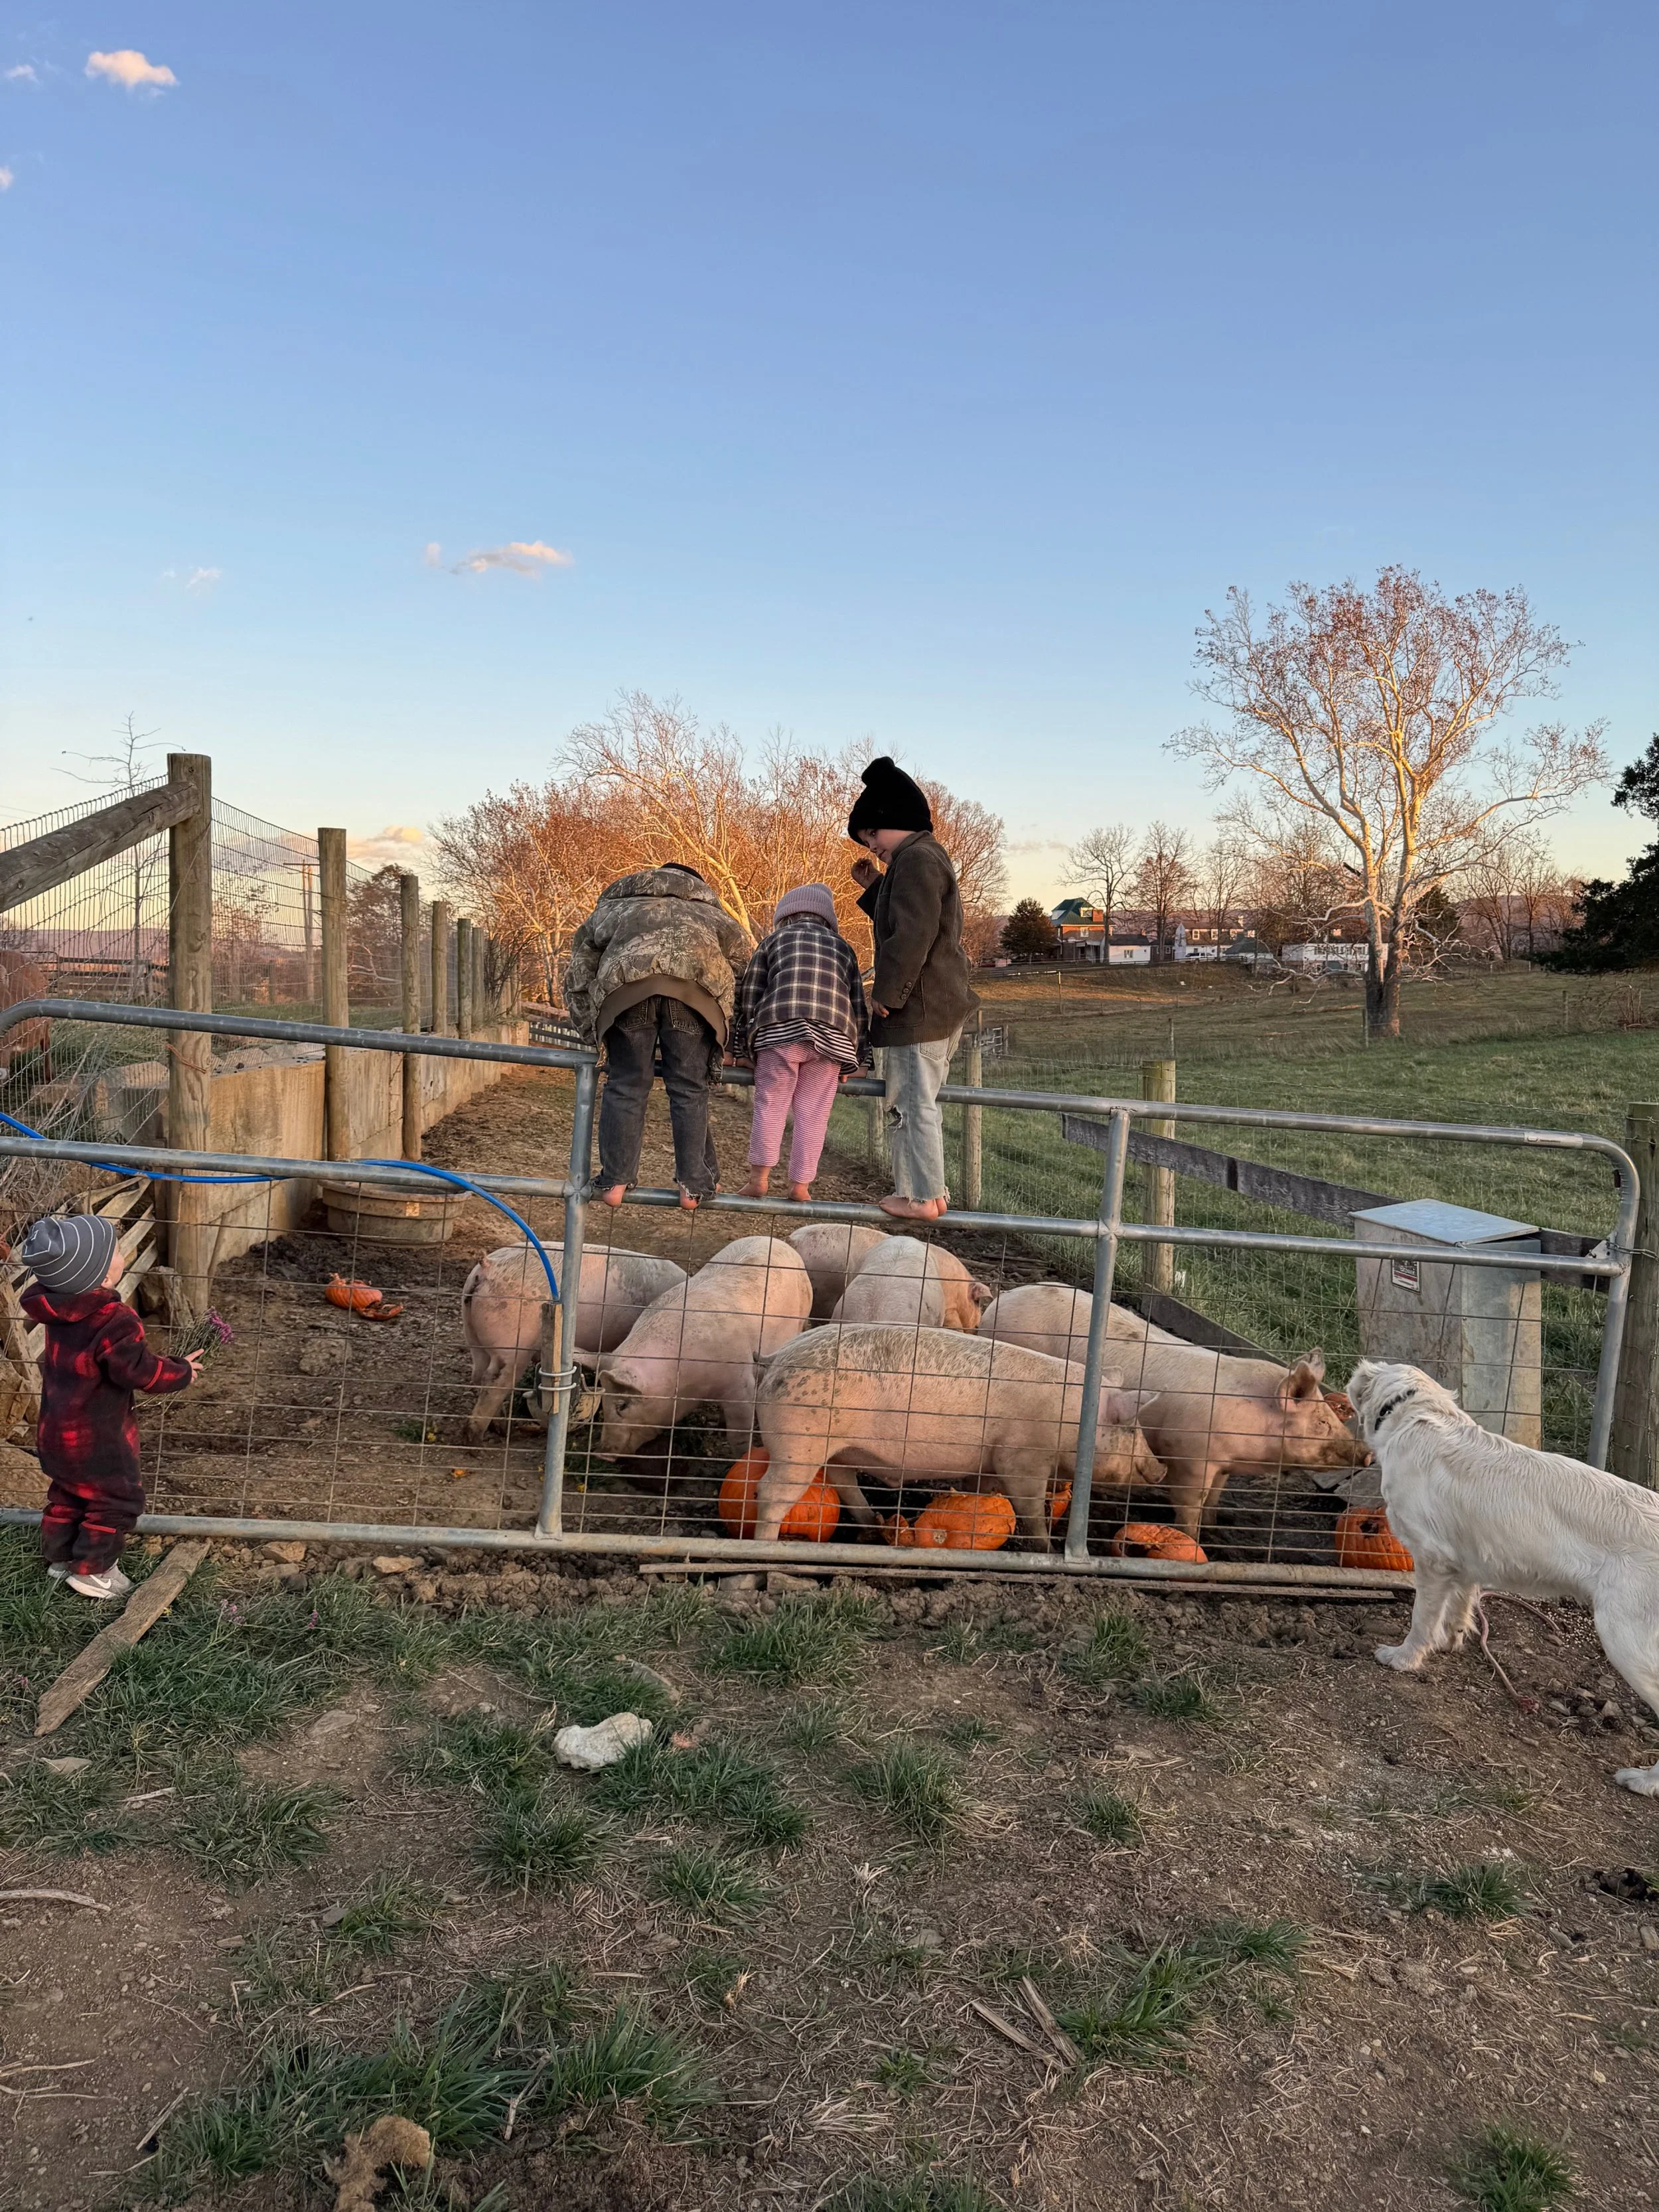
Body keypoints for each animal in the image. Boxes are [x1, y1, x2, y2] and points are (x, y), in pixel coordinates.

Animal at [461, 1244, 686, 1441]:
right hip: (514, 1344)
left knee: (479, 1375)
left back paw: (497, 1429)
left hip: (474, 1336)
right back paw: (478, 1438)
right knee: (495, 1383)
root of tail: (488, 1267)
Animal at [592, 1235, 812, 1458]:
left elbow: (739, 1432)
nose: (602, 1453)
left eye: (622, 1406)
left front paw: (740, 1456)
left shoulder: (740, 1382)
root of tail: (776, 1241)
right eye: (603, 1403)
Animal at [753, 1322, 1163, 1548]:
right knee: (770, 1493)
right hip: (798, 1443)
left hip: (835, 1448)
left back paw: (875, 1527)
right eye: (1130, 1427)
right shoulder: (1022, 1458)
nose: (1161, 1470)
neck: (1073, 1420)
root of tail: (775, 1358)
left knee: (843, 1481)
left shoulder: (988, 1463)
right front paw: (1046, 1549)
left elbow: (980, 1496)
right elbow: (1030, 1508)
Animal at [1104, 1339, 1369, 1536]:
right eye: (1322, 1422)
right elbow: (1191, 1505)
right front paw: (1193, 1540)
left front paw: (1214, 1528)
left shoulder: (1223, 1466)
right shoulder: (1190, 1460)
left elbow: (1214, 1497)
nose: (1367, 1453)